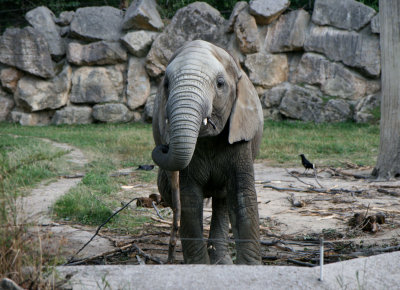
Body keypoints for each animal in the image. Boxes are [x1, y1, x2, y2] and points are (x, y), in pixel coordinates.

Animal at [152, 39, 264, 264]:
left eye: (220, 84)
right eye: (166, 84)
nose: (164, 145)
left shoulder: (241, 135)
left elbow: (242, 195)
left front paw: (249, 266)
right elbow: (189, 199)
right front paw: (199, 266)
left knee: (222, 201)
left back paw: (222, 261)